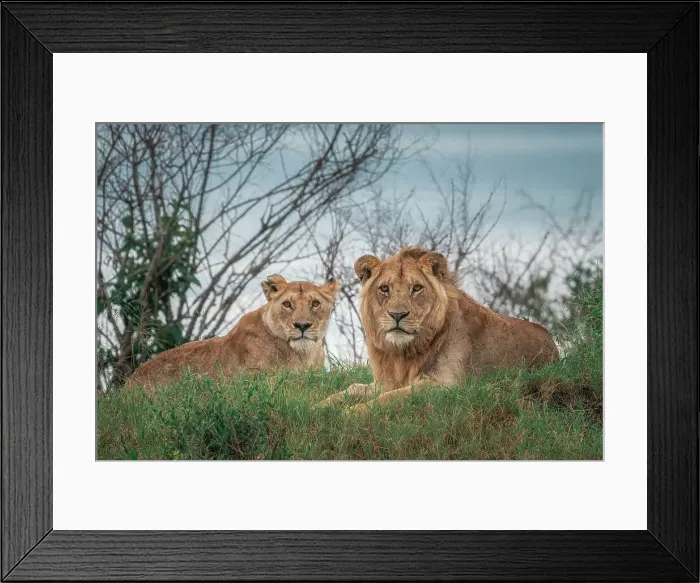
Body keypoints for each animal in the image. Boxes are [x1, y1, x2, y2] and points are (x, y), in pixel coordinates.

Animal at [317, 247, 558, 412]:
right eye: (384, 289)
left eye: (416, 288)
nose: (397, 315)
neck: (403, 354)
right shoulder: (385, 382)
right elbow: (352, 389)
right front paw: (319, 406)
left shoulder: (446, 385)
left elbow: (389, 398)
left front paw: (349, 413)